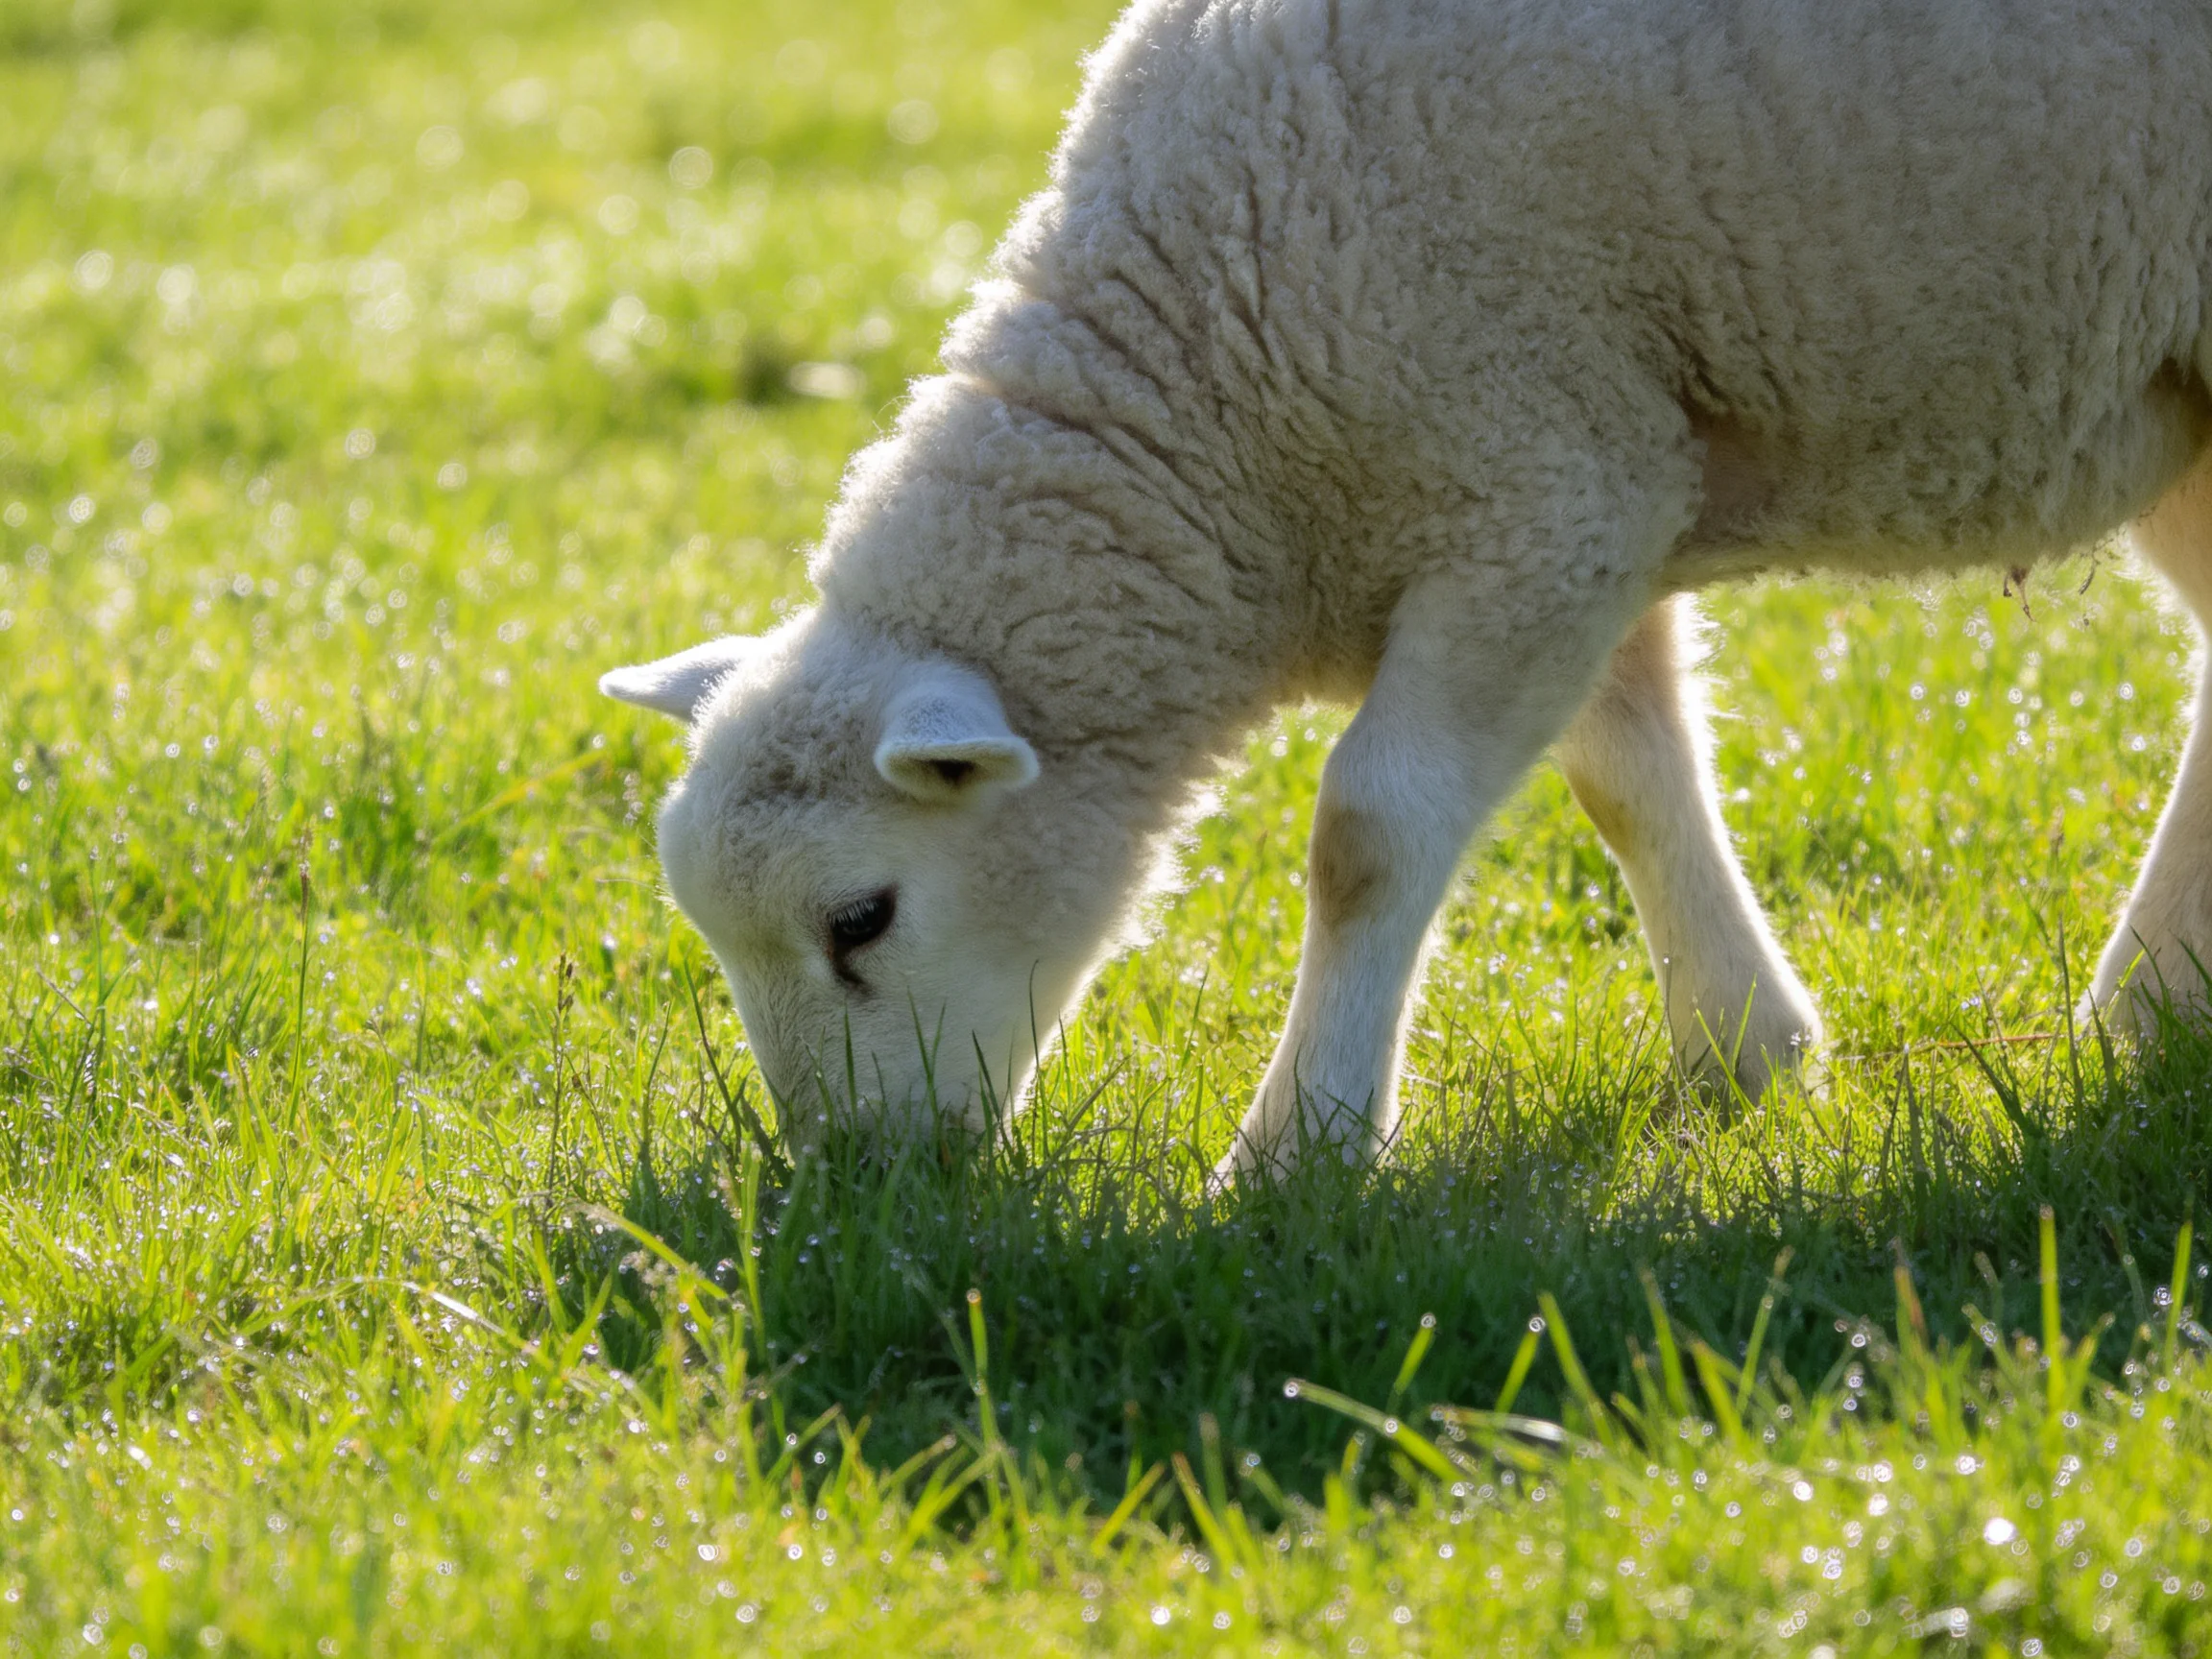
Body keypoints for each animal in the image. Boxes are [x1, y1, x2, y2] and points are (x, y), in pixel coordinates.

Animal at [603, 0, 2212, 1177]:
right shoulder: (1585, 480)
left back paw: (2138, 1002)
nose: (856, 1189)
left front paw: (1297, 1151)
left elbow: (1369, 833)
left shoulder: (1537, 484)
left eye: (860, 921)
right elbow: (1626, 774)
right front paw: (1745, 1050)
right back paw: (2152, 1008)